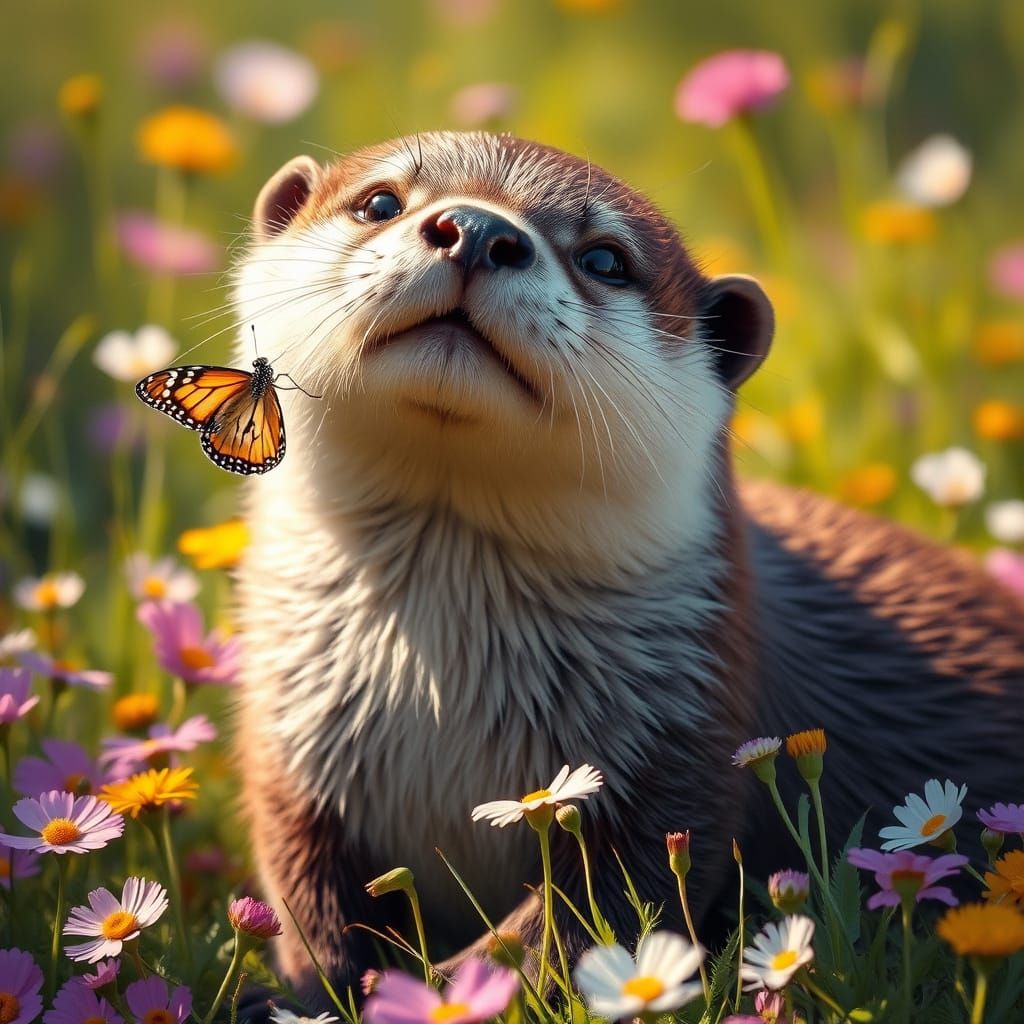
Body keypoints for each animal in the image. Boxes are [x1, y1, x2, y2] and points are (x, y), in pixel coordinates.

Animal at [232, 131, 1024, 1003]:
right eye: (379, 201)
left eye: (606, 258)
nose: (478, 229)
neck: (436, 703)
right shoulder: (287, 746)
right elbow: (304, 893)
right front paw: (323, 988)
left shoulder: (681, 745)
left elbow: (591, 916)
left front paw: (443, 987)